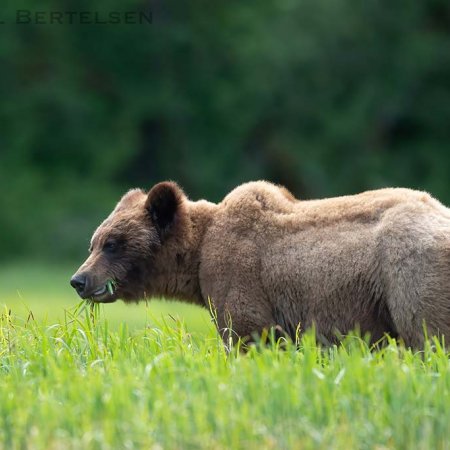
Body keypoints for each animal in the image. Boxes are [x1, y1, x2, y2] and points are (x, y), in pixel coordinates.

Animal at [70, 180, 450, 348]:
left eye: (112, 244)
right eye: (94, 242)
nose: (79, 280)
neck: (197, 256)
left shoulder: (241, 278)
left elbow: (247, 335)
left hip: (408, 273)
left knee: (428, 334)